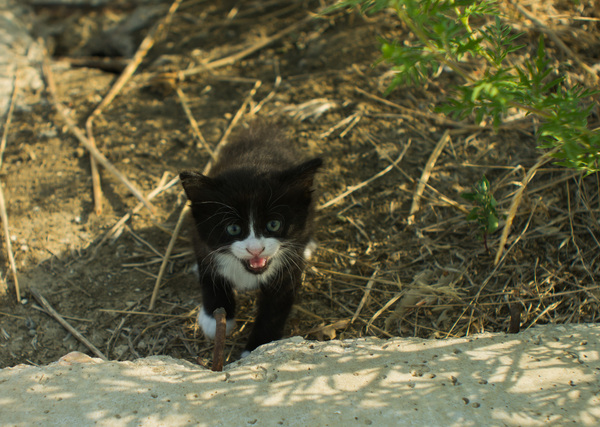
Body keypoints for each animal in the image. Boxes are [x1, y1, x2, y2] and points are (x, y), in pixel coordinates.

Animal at [180, 125, 322, 356]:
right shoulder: (199, 237)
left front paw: (258, 348)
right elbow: (209, 273)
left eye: (273, 224)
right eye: (233, 228)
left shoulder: (287, 273)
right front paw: (214, 318)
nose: (256, 249)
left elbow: (275, 308)